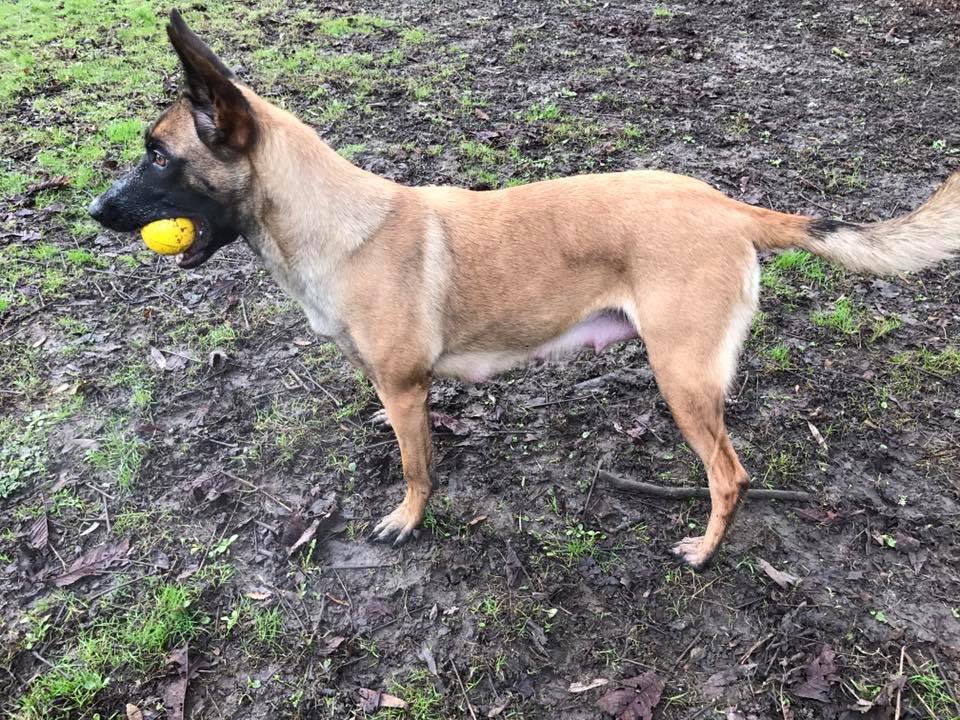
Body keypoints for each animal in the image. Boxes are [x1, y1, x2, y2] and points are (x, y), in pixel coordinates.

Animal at [89, 10, 960, 570]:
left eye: (158, 154)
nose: (96, 211)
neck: (339, 223)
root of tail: (727, 206)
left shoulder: (406, 387)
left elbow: (416, 467)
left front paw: (407, 521)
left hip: (680, 378)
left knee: (730, 476)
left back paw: (706, 552)